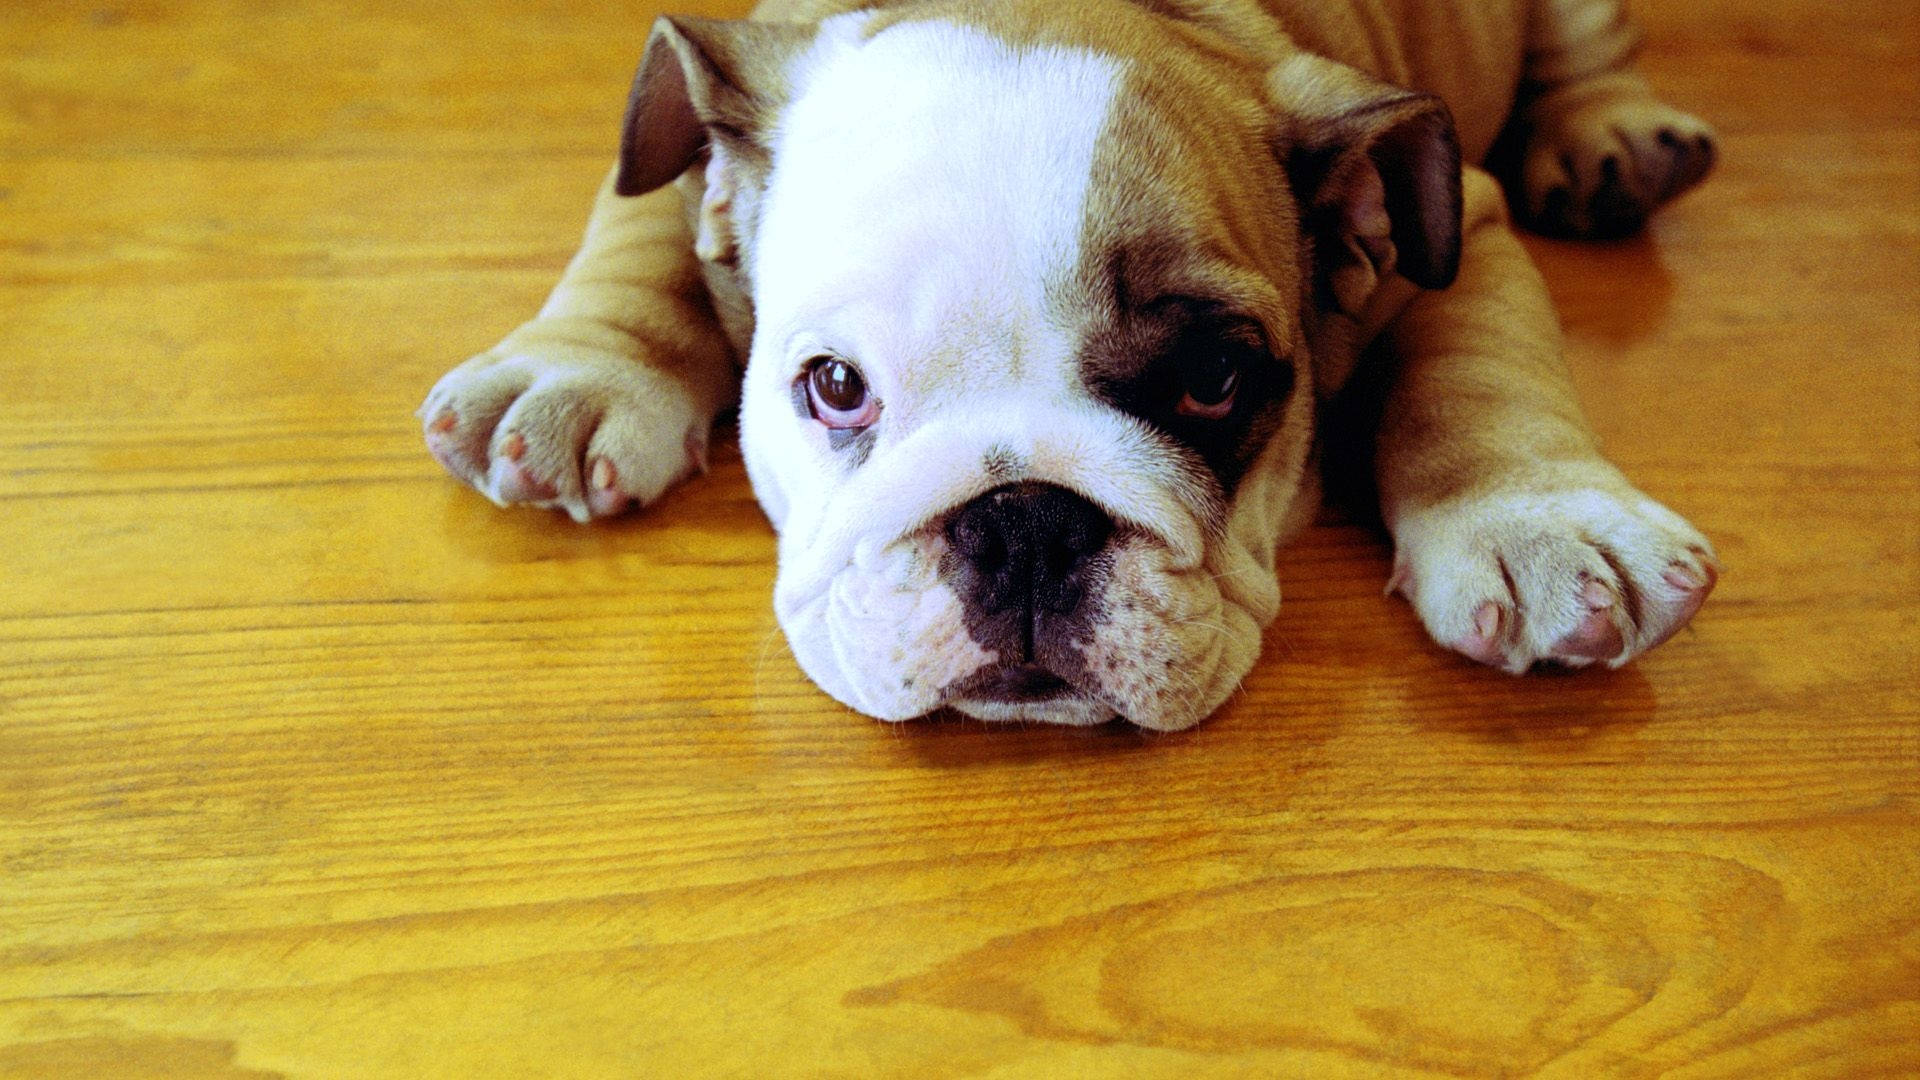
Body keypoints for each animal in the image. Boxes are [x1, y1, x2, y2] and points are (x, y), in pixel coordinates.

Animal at [420, 0, 1728, 730]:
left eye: (1214, 379)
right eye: (835, 388)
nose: (1025, 522)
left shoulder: (1463, 228)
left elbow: (1482, 373)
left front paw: (1541, 520)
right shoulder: (693, 127)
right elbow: (641, 215)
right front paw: (575, 370)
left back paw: (1615, 143)